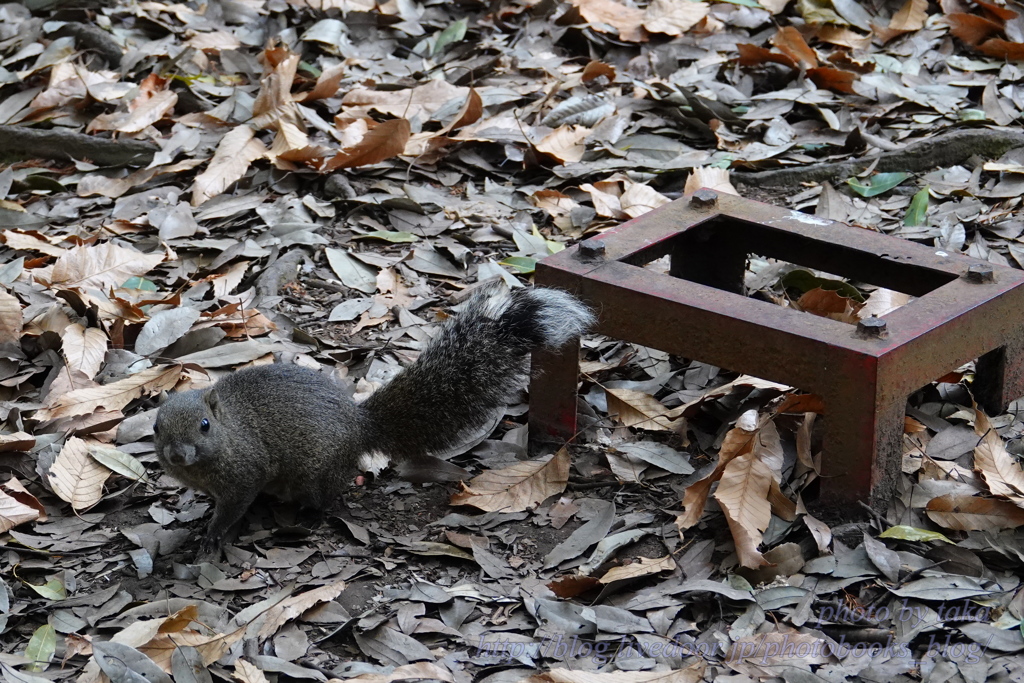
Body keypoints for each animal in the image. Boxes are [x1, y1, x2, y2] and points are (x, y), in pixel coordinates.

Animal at [151, 286, 593, 557]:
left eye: (205, 426)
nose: (177, 455)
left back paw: (307, 518)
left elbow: (234, 505)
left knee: (327, 499)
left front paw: (213, 535)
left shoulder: (246, 470)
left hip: (318, 474)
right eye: (156, 428)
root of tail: (358, 425)